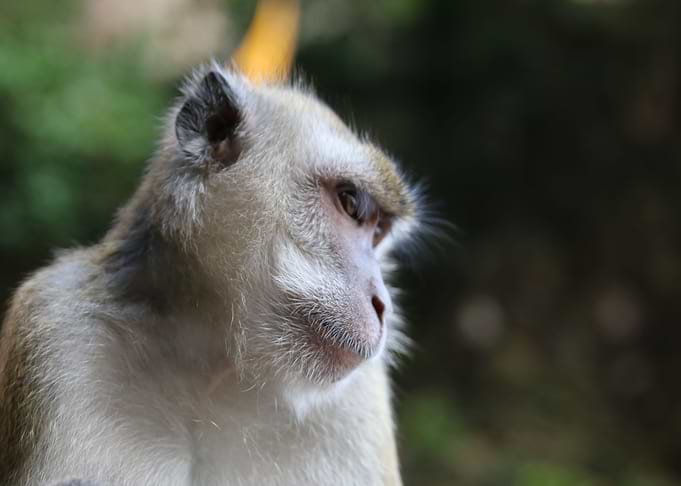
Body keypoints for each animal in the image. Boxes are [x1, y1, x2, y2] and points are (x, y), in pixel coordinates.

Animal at [0, 62, 422, 486]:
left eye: (378, 233)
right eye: (351, 204)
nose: (382, 305)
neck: (220, 366)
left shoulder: (360, 397)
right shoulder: (58, 324)